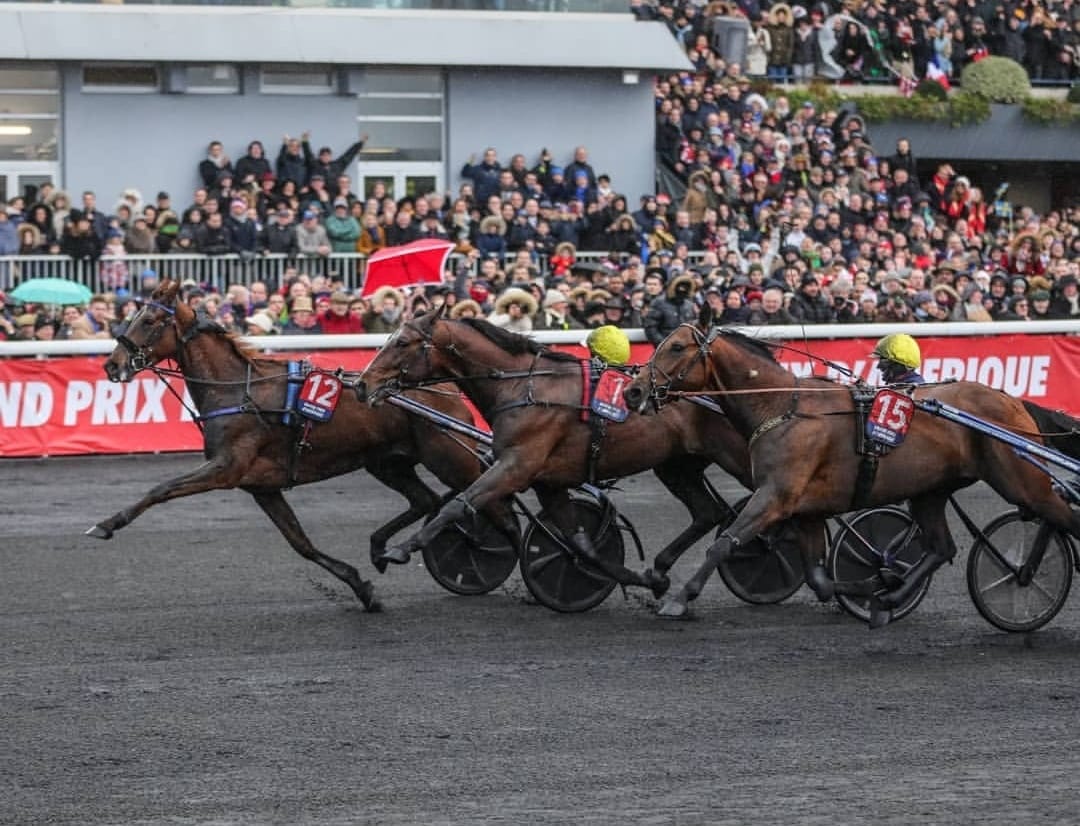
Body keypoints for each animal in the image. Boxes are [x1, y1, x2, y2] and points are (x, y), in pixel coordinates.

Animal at [91, 279, 519, 612]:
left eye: (148, 320)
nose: (112, 365)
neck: (240, 390)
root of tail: (446, 388)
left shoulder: (227, 467)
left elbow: (160, 488)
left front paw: (106, 524)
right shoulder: (261, 485)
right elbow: (301, 543)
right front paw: (362, 588)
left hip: (448, 456)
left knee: (491, 500)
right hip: (386, 462)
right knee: (428, 500)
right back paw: (381, 548)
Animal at [357, 308, 796, 599]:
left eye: (402, 342)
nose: (362, 384)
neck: (526, 387)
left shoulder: (517, 464)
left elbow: (458, 503)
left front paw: (399, 549)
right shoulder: (548, 481)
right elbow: (581, 544)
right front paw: (637, 579)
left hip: (741, 459)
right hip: (677, 465)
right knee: (708, 512)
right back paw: (661, 567)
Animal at [623, 322, 1080, 623]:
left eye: (677, 347)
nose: (633, 390)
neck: (781, 406)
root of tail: (1013, 401)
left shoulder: (775, 497)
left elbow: (724, 544)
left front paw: (678, 599)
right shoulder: (806, 511)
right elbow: (819, 579)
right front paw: (875, 588)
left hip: (1022, 482)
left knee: (1063, 517)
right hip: (930, 491)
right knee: (941, 547)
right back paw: (892, 598)